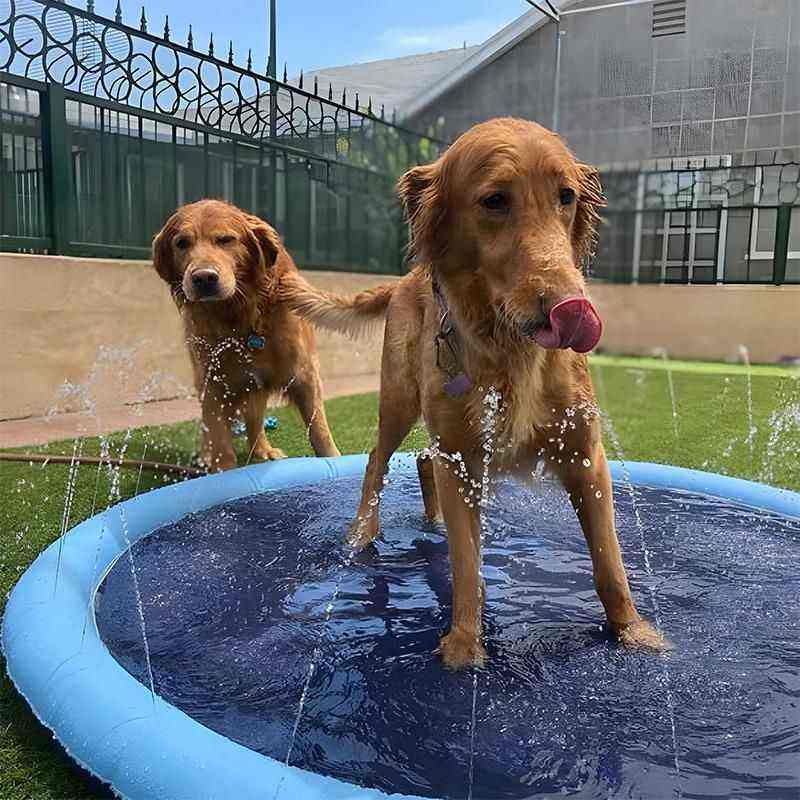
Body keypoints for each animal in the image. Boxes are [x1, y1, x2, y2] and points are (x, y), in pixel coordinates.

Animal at [284, 119, 664, 668]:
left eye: (566, 196)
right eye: (494, 200)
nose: (571, 307)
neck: (510, 348)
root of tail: (404, 279)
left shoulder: (585, 455)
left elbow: (610, 563)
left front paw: (634, 633)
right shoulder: (462, 457)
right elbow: (466, 565)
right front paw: (464, 649)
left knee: (424, 458)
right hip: (400, 398)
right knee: (379, 457)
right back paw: (363, 533)